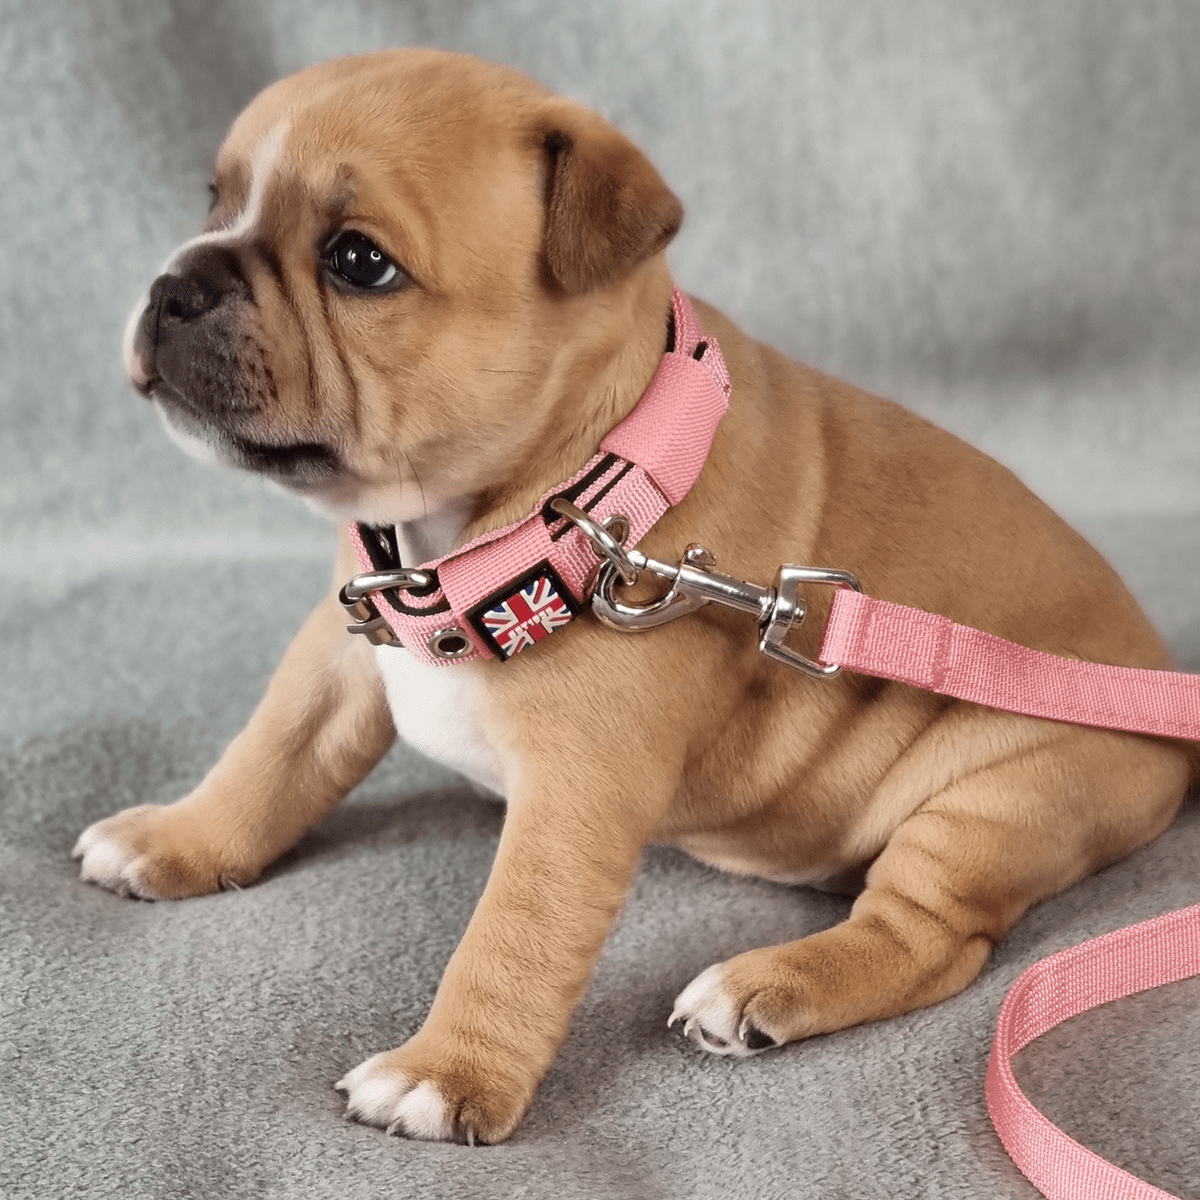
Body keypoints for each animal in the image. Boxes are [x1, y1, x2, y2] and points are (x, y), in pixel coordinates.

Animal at [72, 49, 1190, 1142]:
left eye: (358, 263)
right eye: (214, 201)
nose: (174, 284)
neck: (558, 503)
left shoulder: (579, 787)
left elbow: (516, 931)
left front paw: (446, 1073)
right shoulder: (343, 644)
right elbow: (270, 756)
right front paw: (180, 839)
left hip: (1007, 792)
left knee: (932, 935)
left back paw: (761, 987)